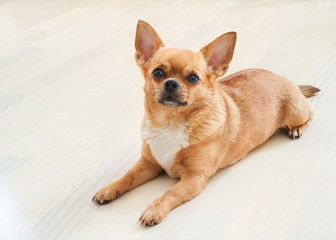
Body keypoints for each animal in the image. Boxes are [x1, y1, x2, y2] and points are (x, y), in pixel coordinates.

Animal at [92, 20, 320, 225]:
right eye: (157, 73)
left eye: (193, 78)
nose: (171, 83)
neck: (171, 122)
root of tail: (285, 78)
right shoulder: (148, 164)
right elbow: (127, 176)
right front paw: (109, 188)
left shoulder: (194, 178)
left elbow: (171, 193)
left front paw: (154, 209)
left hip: (296, 111)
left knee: (311, 114)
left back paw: (297, 129)